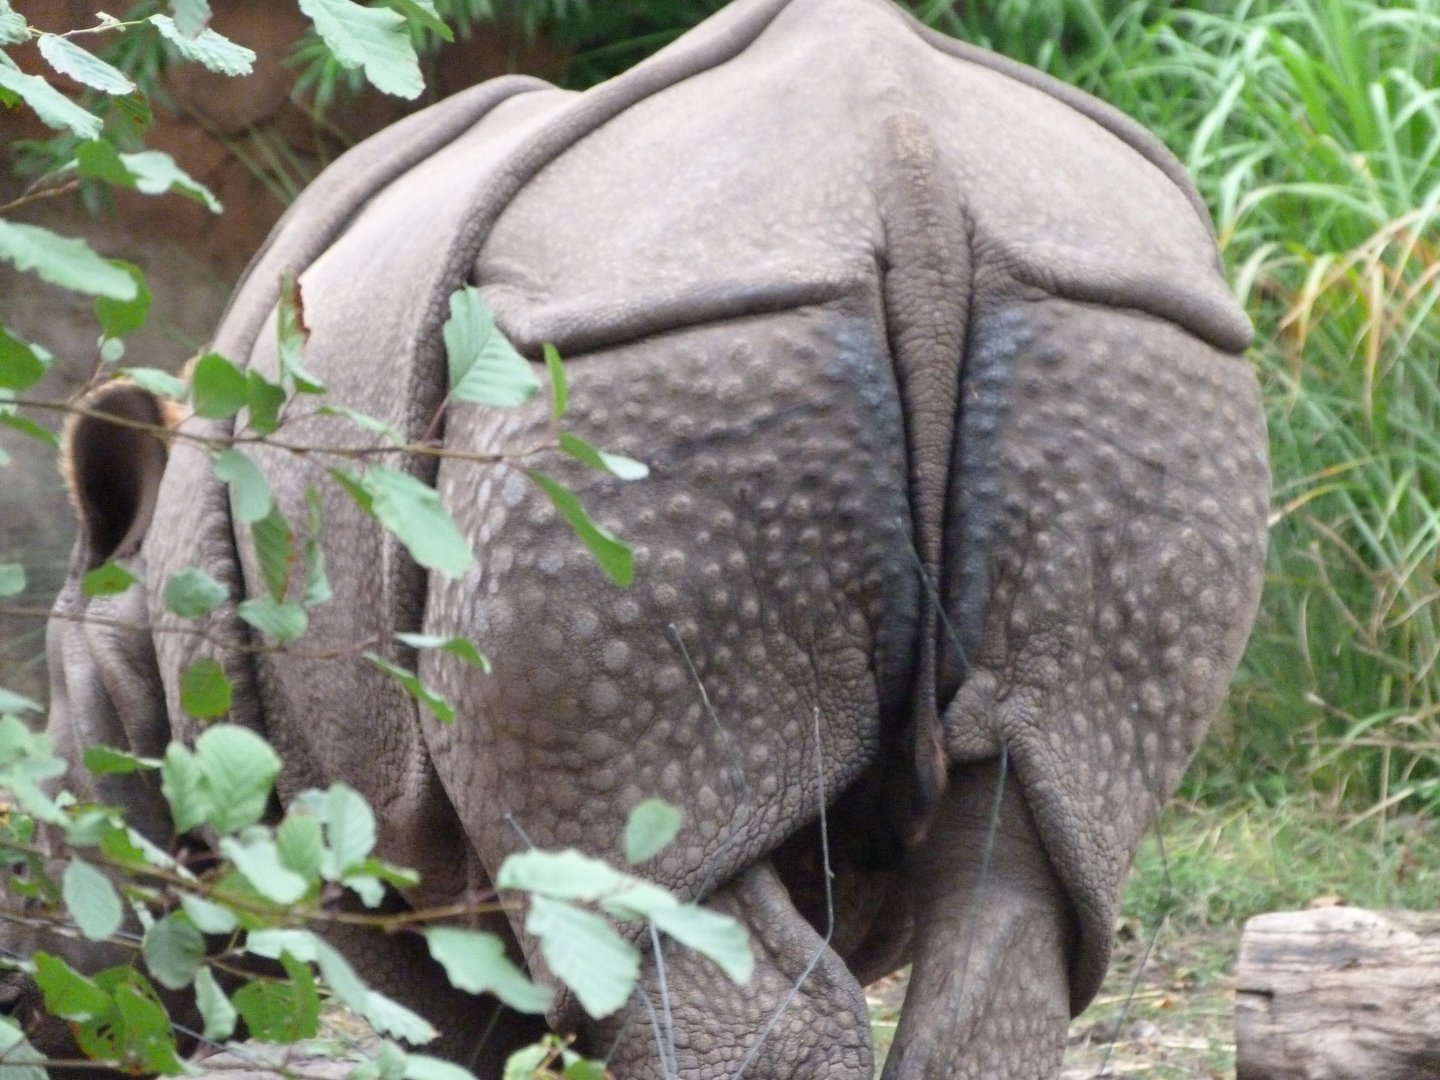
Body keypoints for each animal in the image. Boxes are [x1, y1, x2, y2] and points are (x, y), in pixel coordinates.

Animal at [16, 0, 1269, 1075]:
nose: (33, 1003)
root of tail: (910, 177)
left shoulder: (351, 819)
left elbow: (450, 1015)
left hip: (645, 372)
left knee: (654, 897)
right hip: (1126, 340)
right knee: (1025, 856)